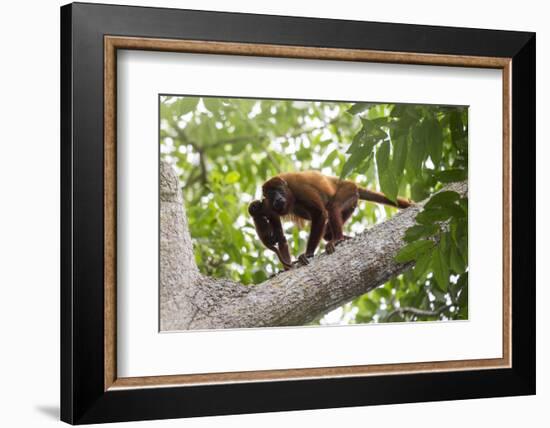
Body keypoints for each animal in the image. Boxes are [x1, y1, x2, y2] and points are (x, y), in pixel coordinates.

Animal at [260, 170, 414, 266]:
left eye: (279, 191)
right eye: (271, 194)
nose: (277, 198)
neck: (289, 191)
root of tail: (351, 183)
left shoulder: (299, 188)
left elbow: (319, 213)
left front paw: (308, 254)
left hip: (348, 190)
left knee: (333, 207)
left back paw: (338, 239)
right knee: (327, 231)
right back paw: (342, 237)